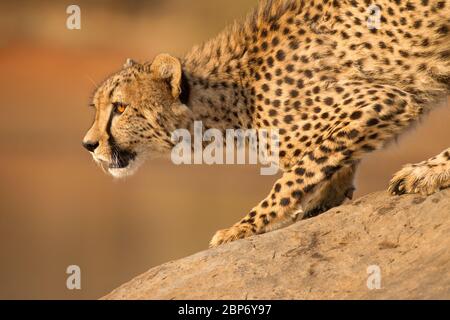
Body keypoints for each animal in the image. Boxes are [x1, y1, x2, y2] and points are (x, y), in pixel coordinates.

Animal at [82, 0, 450, 248]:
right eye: (97, 108)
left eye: (120, 108)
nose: (88, 144)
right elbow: (329, 163)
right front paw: (329, 194)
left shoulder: (387, 99)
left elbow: (295, 174)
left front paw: (242, 227)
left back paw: (425, 172)